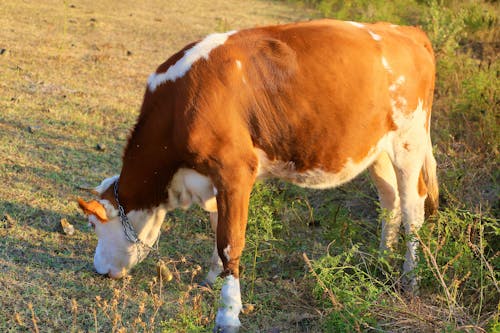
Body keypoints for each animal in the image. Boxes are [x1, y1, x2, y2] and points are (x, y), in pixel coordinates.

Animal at [77, 19, 438, 330]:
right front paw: (211, 278)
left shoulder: (235, 171)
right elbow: (216, 227)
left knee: (413, 206)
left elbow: (229, 241)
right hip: (376, 148)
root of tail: (406, 31)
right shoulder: (213, 181)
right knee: (389, 200)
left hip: (409, 140)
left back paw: (410, 278)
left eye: (94, 225)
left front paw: (228, 313)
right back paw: (381, 259)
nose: (100, 270)